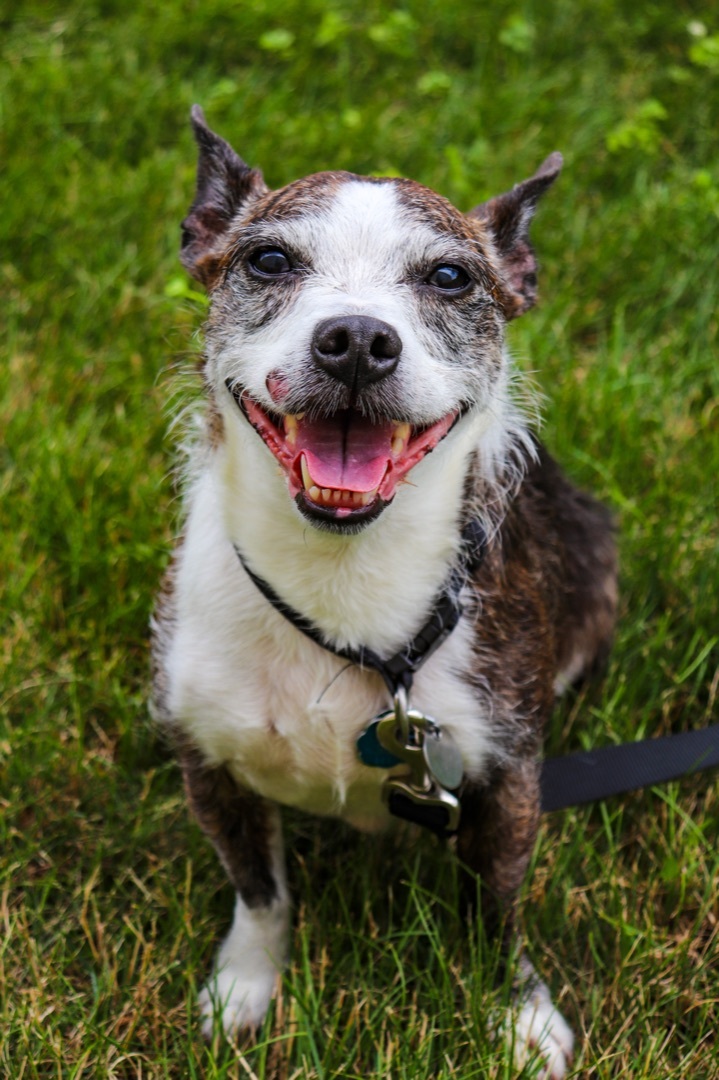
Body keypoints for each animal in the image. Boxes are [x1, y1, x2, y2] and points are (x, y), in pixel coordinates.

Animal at [151, 105, 617, 1075]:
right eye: (268, 261)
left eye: (449, 277)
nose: (359, 340)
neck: (341, 573)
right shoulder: (207, 762)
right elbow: (259, 892)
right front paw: (244, 989)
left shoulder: (506, 781)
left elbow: (495, 913)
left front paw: (518, 1016)